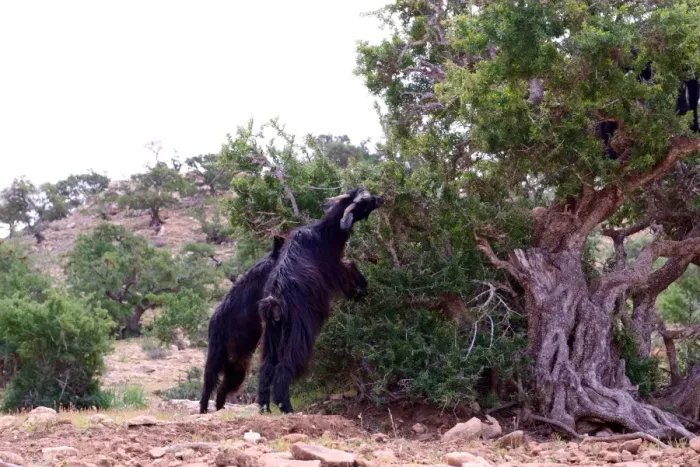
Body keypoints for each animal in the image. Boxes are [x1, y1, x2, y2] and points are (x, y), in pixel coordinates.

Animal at [257, 187, 383, 414]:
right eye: (364, 203)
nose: (381, 199)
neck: (323, 236)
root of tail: (275, 302)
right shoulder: (335, 269)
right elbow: (350, 267)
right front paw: (362, 291)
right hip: (300, 330)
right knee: (285, 366)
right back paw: (286, 407)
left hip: (272, 333)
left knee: (267, 368)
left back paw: (264, 408)